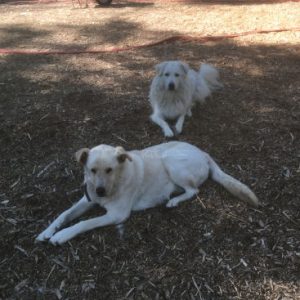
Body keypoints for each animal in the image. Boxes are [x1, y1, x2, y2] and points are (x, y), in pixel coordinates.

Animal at [37, 142, 258, 245]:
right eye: (92, 170)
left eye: (109, 170)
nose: (99, 191)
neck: (116, 181)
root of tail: (203, 152)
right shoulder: (87, 200)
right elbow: (64, 214)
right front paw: (47, 231)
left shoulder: (117, 214)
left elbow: (84, 223)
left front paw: (62, 235)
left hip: (171, 160)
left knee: (194, 190)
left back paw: (174, 201)